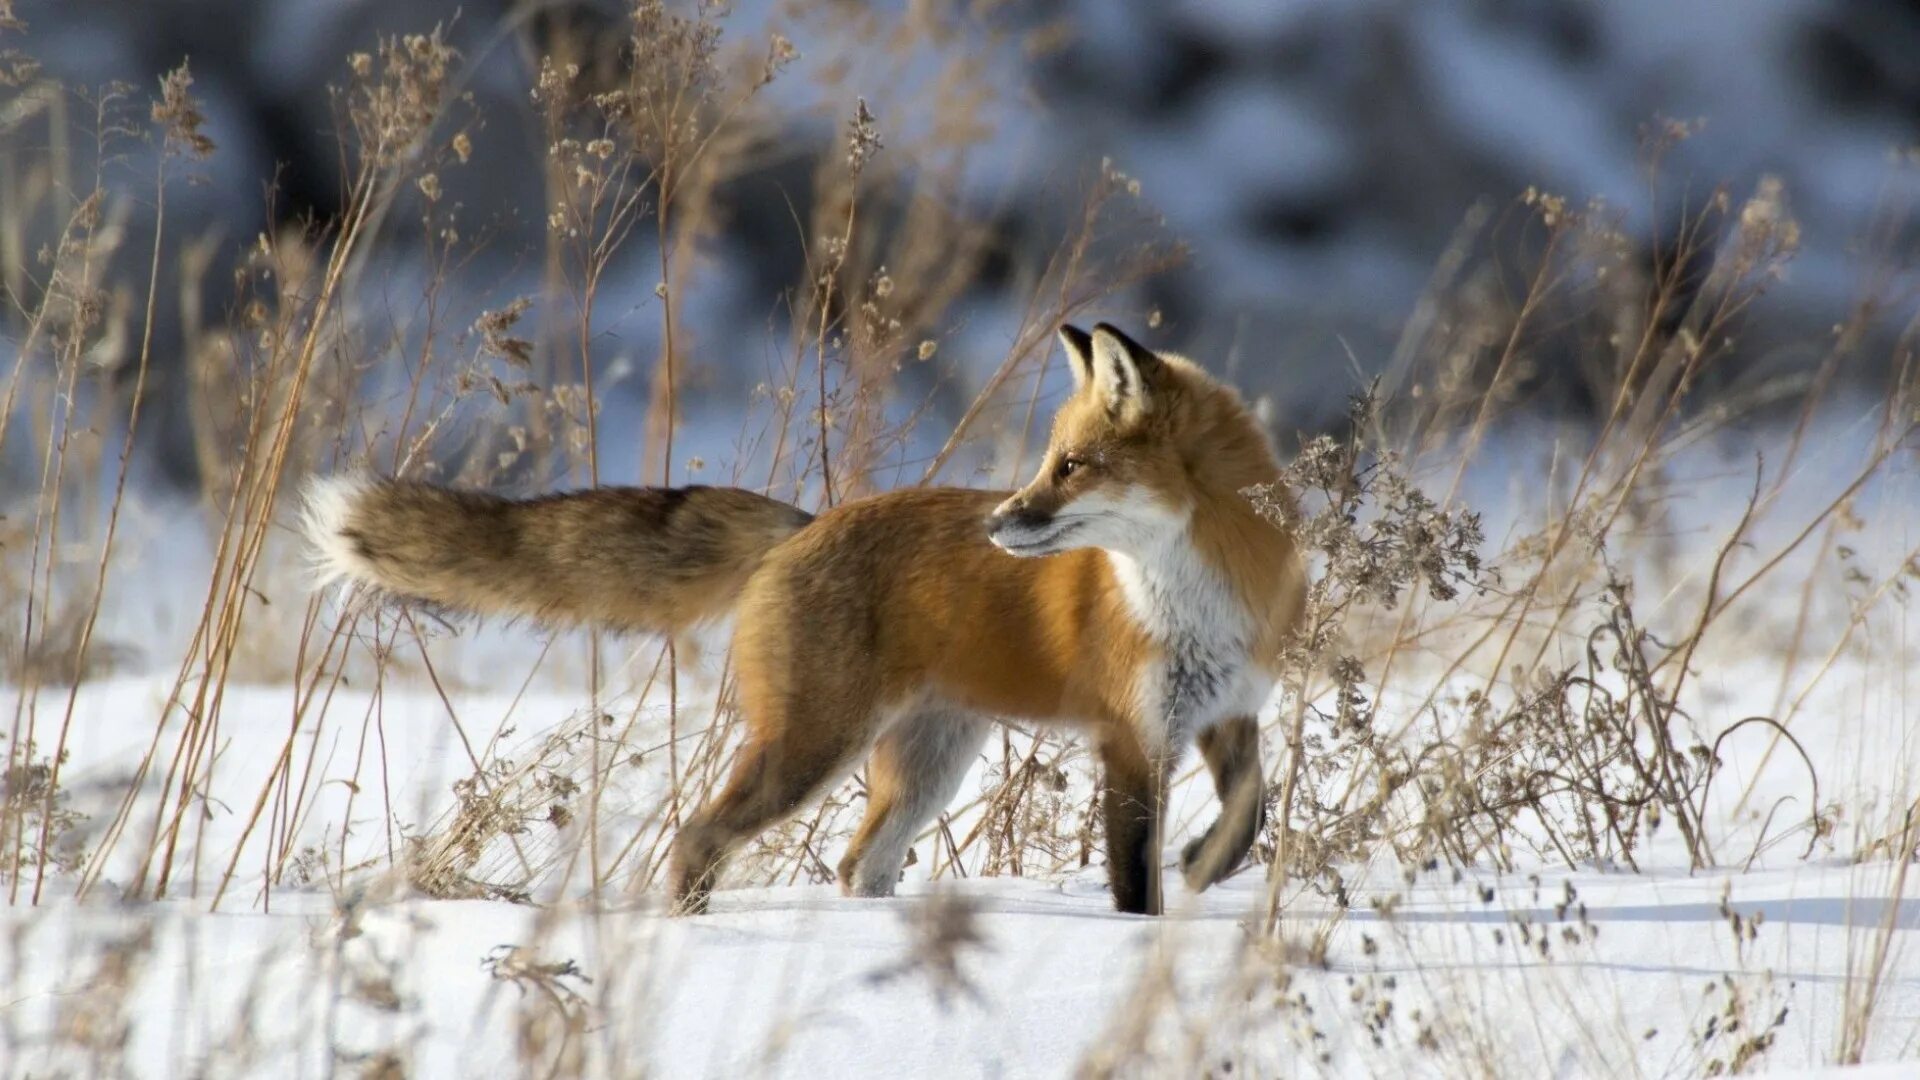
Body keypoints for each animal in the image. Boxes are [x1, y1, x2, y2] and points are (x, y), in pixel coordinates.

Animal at [307, 319, 1305, 907]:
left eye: (1072, 467)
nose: (995, 524)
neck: (1200, 594)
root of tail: (805, 523)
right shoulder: (1131, 738)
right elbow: (1135, 880)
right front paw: (1148, 936)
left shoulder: (1228, 713)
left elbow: (1250, 816)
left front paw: (1206, 864)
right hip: (813, 749)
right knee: (700, 836)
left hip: (924, 766)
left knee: (860, 864)